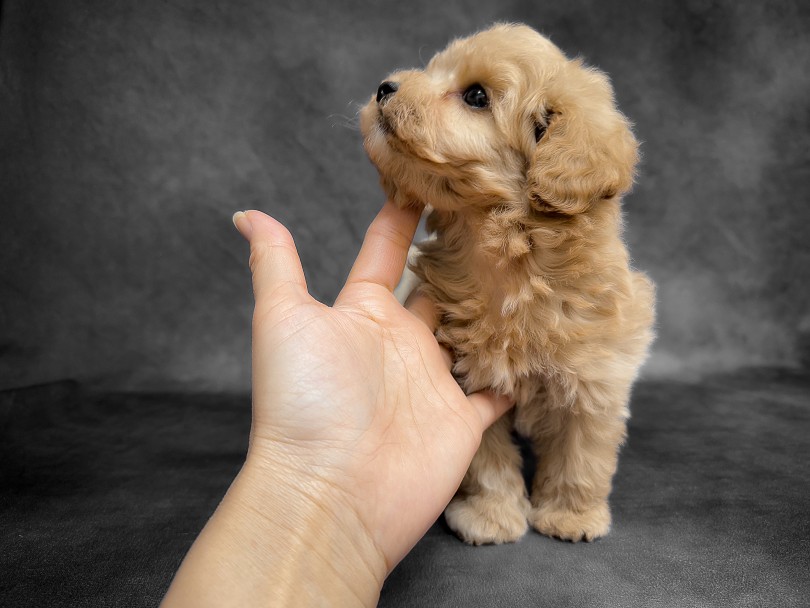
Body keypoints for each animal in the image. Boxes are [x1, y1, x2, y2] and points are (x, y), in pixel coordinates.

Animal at [356, 25, 652, 548]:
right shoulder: (468, 374)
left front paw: (570, 515)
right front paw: (491, 516)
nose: (384, 88)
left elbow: (581, 454)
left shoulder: (597, 375)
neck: (510, 257)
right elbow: (485, 459)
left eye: (476, 96)